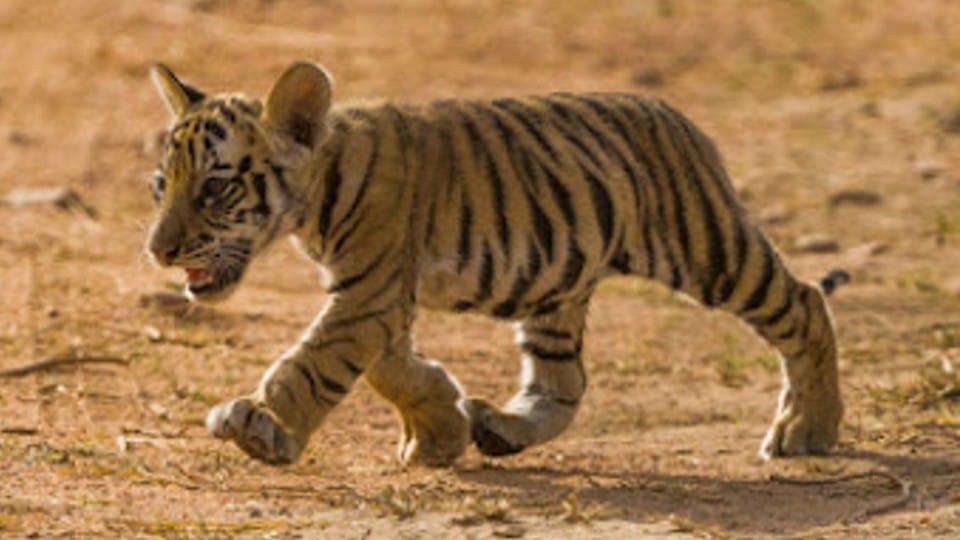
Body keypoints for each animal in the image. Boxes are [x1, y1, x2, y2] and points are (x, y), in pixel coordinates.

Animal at [145, 61, 845, 466]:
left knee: (804, 302)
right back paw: (501, 428)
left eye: (215, 188)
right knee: (563, 383)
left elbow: (312, 362)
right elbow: (391, 370)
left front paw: (260, 425)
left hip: (708, 250)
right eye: (161, 185)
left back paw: (807, 430)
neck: (314, 196)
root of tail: (675, 116)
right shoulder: (377, 294)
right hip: (557, 292)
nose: (157, 251)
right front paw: (440, 430)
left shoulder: (369, 293)